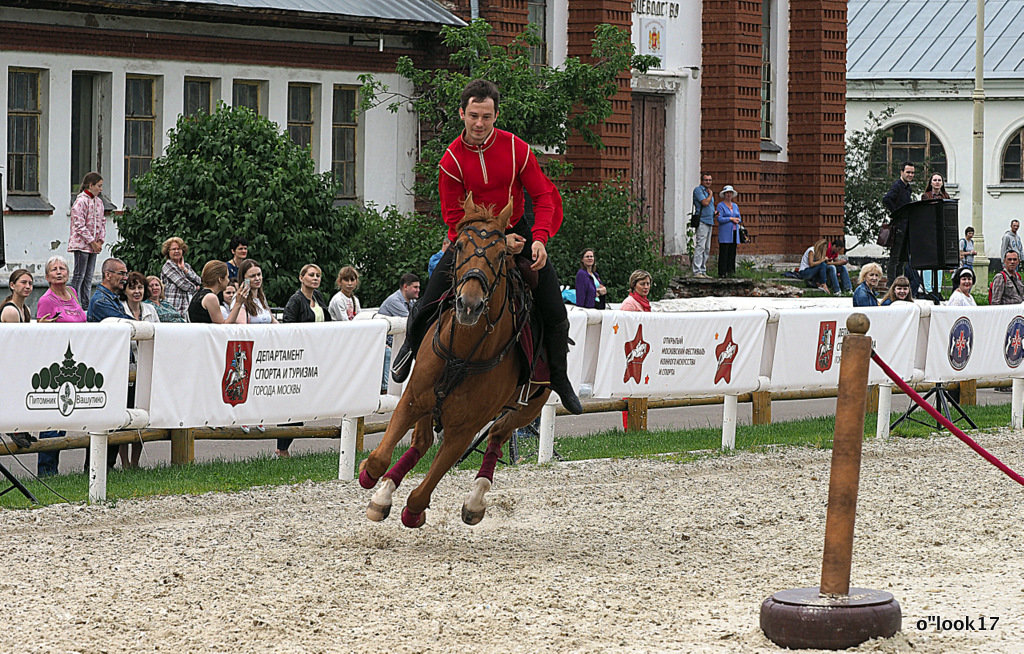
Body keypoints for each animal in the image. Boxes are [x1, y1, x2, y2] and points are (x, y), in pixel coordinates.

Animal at [360, 193, 552, 528]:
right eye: (459, 246)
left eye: (501, 254)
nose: (469, 304)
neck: (462, 352)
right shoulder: (412, 399)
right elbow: (378, 459)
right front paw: (375, 486)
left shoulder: (464, 430)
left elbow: (422, 492)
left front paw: (412, 509)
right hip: (430, 404)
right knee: (421, 441)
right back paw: (384, 492)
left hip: (530, 407)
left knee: (498, 435)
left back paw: (475, 500)